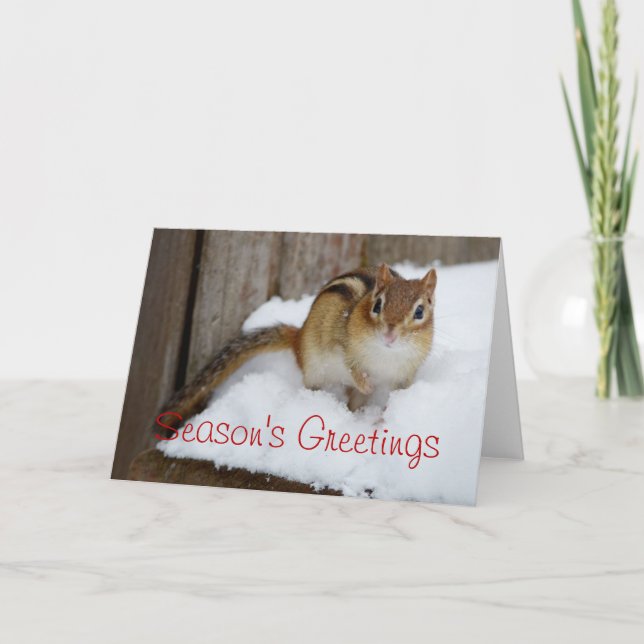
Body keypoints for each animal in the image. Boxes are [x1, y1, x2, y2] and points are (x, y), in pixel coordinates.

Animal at [159, 263, 437, 430]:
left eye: (420, 311)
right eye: (377, 305)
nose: (390, 333)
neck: (386, 355)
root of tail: (298, 336)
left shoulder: (405, 376)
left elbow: (396, 396)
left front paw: (383, 420)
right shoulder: (343, 346)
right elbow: (352, 368)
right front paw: (366, 383)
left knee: (354, 402)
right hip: (314, 368)